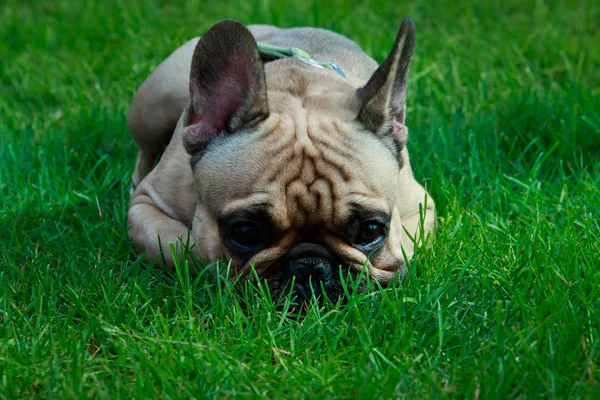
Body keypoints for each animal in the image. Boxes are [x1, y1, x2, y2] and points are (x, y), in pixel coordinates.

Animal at [127, 17, 436, 302]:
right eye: (245, 232)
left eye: (370, 231)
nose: (311, 267)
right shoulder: (146, 208)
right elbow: (187, 251)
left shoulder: (420, 210)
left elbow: (406, 250)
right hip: (153, 109)